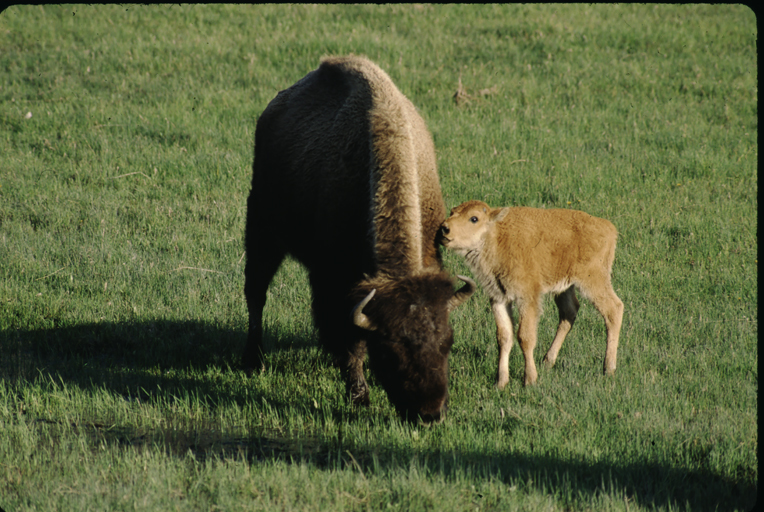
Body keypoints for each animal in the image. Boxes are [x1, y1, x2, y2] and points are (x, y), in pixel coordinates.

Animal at [243, 55, 472, 424]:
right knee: (256, 292)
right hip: (263, 229)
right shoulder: (333, 281)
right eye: (393, 349)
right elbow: (349, 339)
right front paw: (359, 396)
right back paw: (253, 360)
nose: (430, 413)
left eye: (447, 342)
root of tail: (274, 108)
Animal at [438, 200, 624, 388]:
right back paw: (548, 361)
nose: (444, 228)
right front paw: (501, 382)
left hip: (593, 281)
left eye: (474, 218)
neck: (497, 237)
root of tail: (608, 227)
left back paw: (608, 369)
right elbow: (504, 337)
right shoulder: (499, 298)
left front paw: (529, 380)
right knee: (569, 312)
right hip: (565, 287)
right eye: (453, 212)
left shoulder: (527, 298)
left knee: (614, 309)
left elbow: (525, 337)